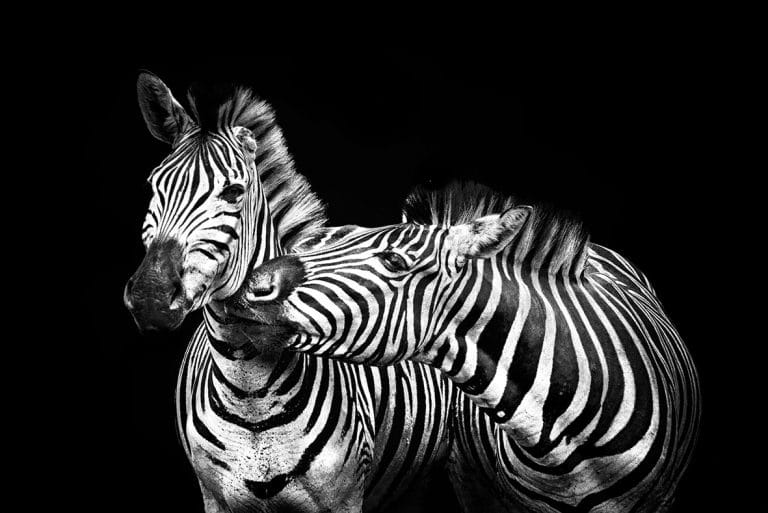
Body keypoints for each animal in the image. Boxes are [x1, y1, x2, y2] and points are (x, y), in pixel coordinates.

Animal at [122, 72, 456, 513]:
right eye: (153, 185)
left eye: (233, 193)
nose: (150, 298)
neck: (248, 388)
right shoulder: (214, 497)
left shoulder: (344, 498)